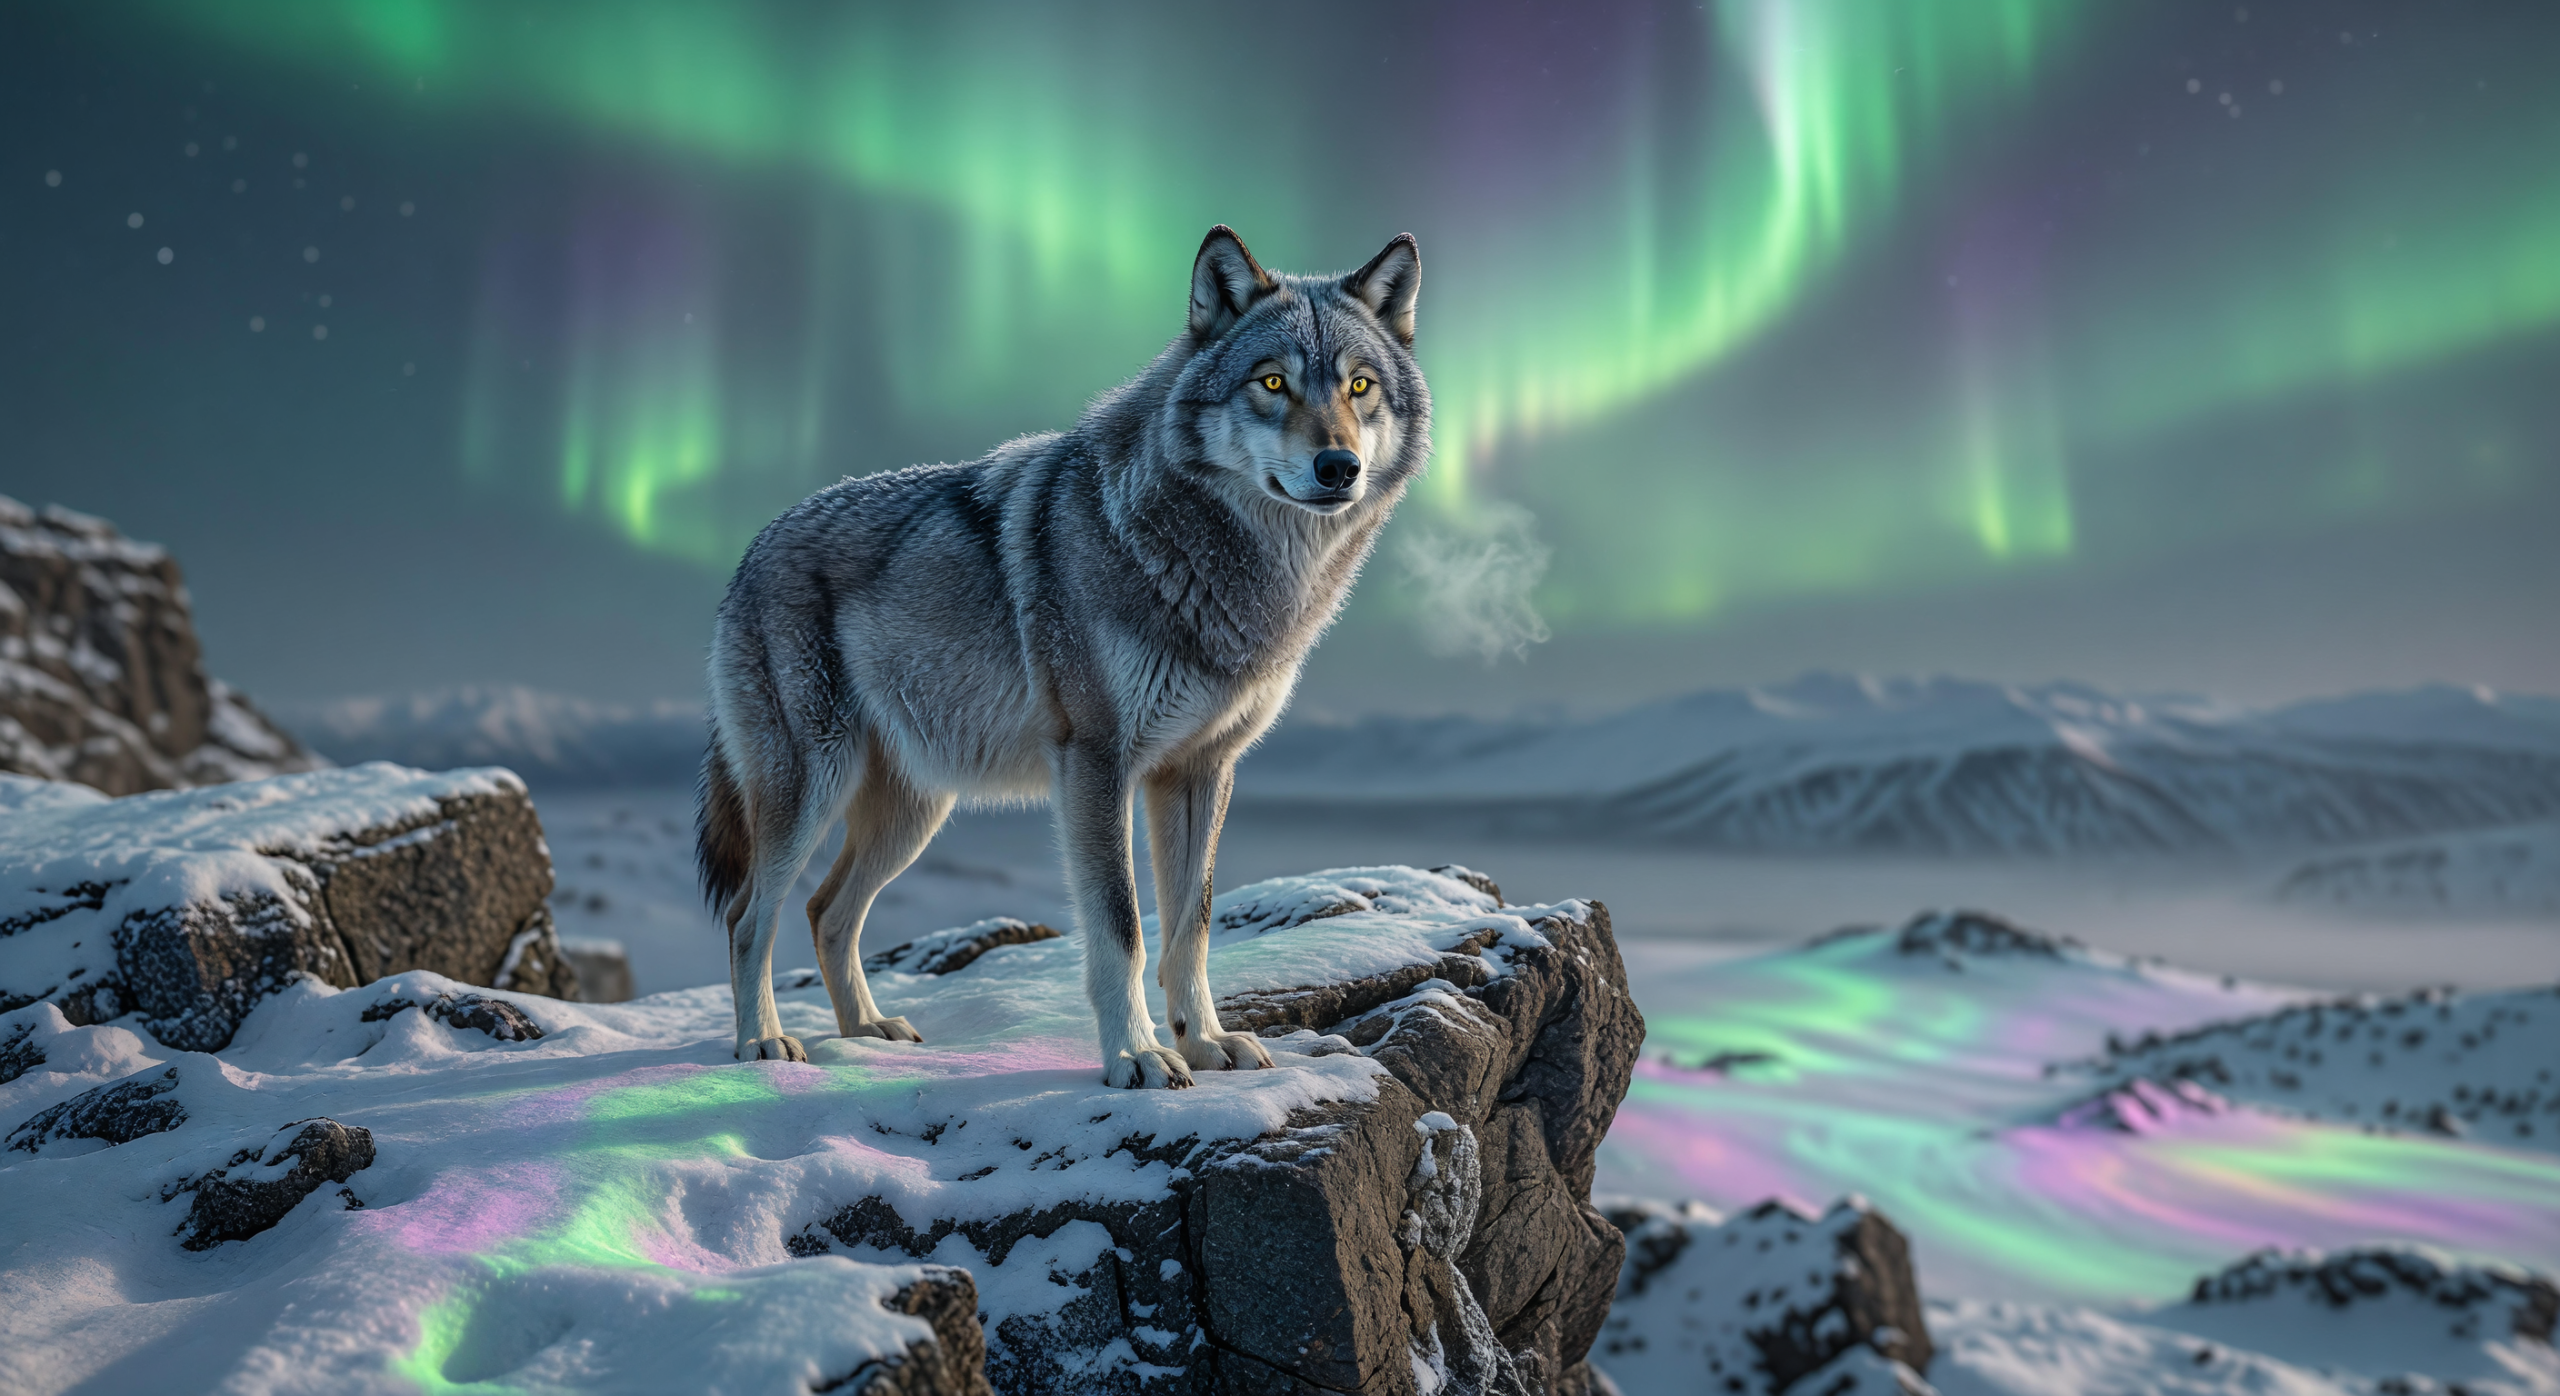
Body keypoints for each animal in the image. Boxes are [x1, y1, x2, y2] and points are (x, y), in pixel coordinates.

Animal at [695, 226, 1426, 1088]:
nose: (1339, 468)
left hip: (915, 812)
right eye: (1272, 382)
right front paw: (1137, 1056)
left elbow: (1193, 924)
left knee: (826, 910)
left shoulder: (1201, 769)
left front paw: (1205, 1043)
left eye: (1360, 386)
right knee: (750, 914)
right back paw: (762, 1045)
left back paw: (867, 1032)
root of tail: (753, 546)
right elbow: (1122, 928)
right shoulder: (1096, 762)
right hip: (814, 789)